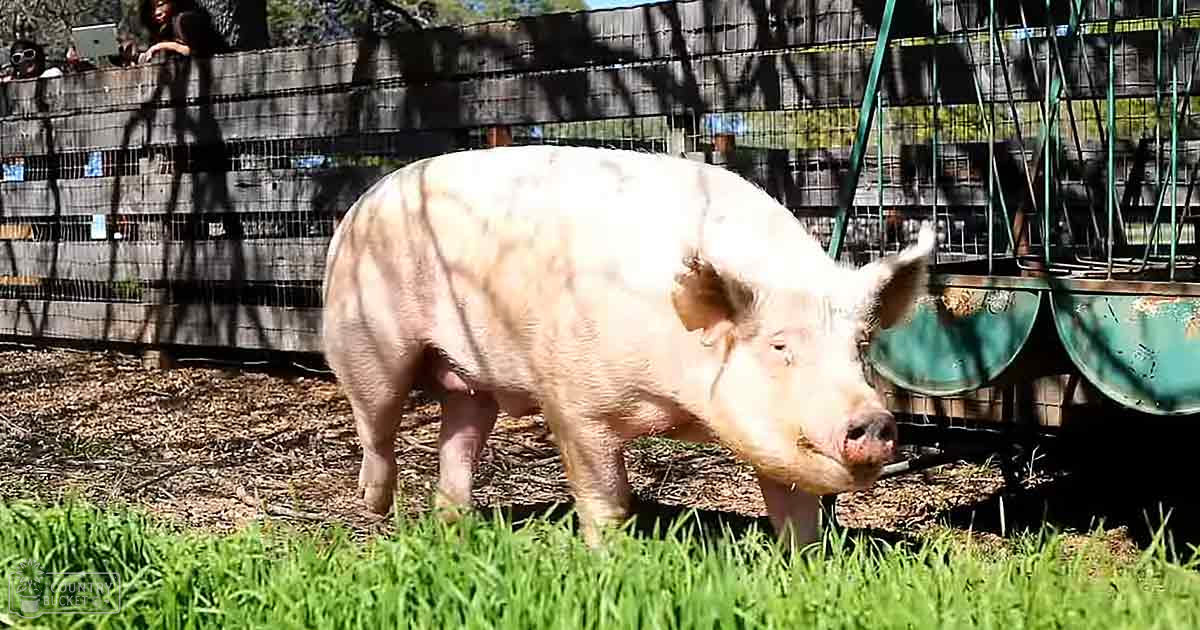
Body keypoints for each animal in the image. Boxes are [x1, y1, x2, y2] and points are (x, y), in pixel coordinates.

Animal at [321, 144, 935, 548]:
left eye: (860, 346)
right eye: (780, 346)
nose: (874, 420)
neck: (677, 406)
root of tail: (360, 203)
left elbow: (797, 512)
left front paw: (801, 566)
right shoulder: (574, 404)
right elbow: (605, 498)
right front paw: (610, 560)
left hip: (472, 380)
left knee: (460, 433)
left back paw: (453, 526)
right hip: (366, 340)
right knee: (376, 424)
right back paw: (377, 509)